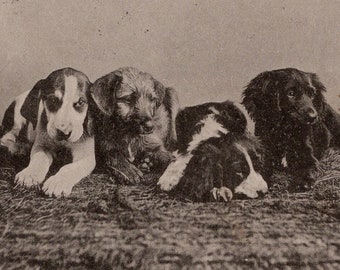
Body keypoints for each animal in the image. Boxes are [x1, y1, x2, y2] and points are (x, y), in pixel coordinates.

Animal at [0, 68, 95, 196]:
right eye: (53, 99)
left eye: (80, 102)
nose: (64, 133)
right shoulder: (42, 145)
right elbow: (39, 159)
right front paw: (30, 174)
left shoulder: (86, 156)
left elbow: (70, 167)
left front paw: (58, 182)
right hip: (17, 116)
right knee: (7, 137)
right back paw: (19, 147)